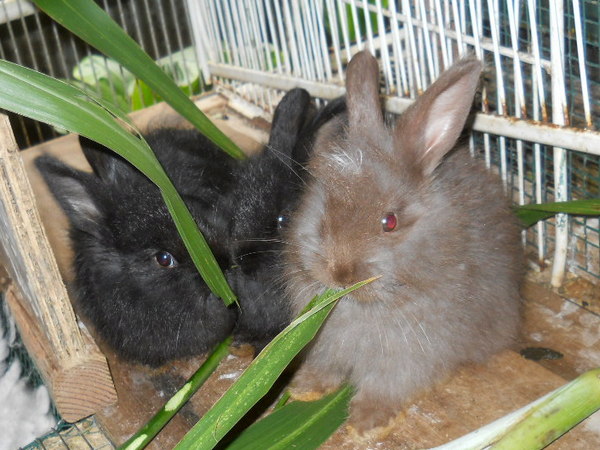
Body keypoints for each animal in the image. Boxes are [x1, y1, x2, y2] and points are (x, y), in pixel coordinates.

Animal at [284, 51, 524, 430]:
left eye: (390, 222)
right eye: (323, 203)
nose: (339, 272)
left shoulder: (407, 359)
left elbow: (386, 386)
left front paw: (365, 420)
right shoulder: (324, 346)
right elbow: (326, 368)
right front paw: (304, 386)